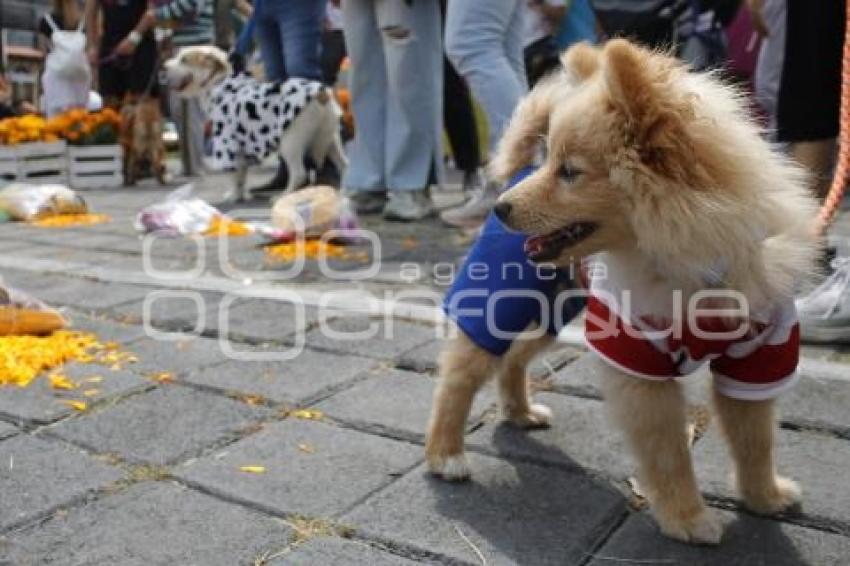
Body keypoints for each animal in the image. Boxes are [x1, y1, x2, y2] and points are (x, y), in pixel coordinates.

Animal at [164, 46, 346, 202]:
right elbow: (242, 175)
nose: (164, 67)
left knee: (299, 173)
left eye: (184, 59)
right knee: (344, 164)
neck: (219, 83)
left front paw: (233, 196)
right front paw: (242, 195)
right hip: (331, 139)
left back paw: (283, 195)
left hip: (290, 141)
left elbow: (234, 174)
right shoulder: (242, 148)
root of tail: (322, 92)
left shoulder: (227, 145)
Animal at [428, 40, 820, 544]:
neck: (692, 264)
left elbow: (755, 439)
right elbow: (669, 454)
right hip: (500, 303)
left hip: (557, 310)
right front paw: (687, 518)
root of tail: (518, 171)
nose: (499, 207)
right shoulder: (638, 361)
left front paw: (764, 497)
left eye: (569, 172)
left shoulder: (758, 357)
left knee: (513, 358)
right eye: (554, 164)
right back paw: (445, 454)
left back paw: (520, 412)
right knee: (459, 374)